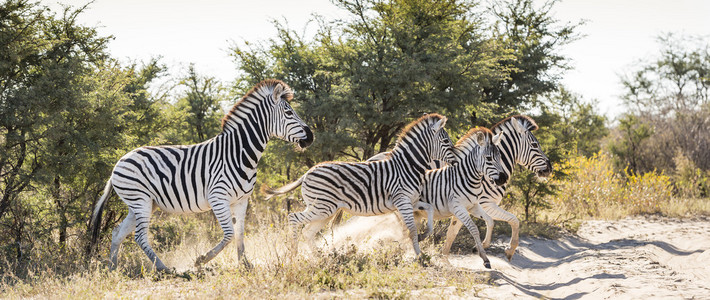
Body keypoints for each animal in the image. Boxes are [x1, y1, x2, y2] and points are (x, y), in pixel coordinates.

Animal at [88, 78, 314, 270]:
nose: (311, 137)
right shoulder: (218, 197)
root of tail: (119, 162)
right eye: (289, 113)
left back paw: (112, 269)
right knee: (139, 237)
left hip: (142, 204)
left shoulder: (242, 200)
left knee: (117, 233)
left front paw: (245, 264)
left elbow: (240, 233)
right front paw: (202, 260)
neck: (238, 153)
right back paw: (163, 268)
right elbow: (229, 234)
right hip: (140, 200)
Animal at [268, 113, 462, 258]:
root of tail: (307, 172)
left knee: (308, 231)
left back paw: (320, 258)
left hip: (325, 210)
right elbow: (412, 229)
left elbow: (428, 211)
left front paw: (423, 237)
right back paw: (294, 255)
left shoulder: (411, 201)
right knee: (293, 218)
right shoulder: (402, 201)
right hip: (322, 208)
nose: (458, 159)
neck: (407, 166)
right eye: (446, 142)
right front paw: (419, 256)